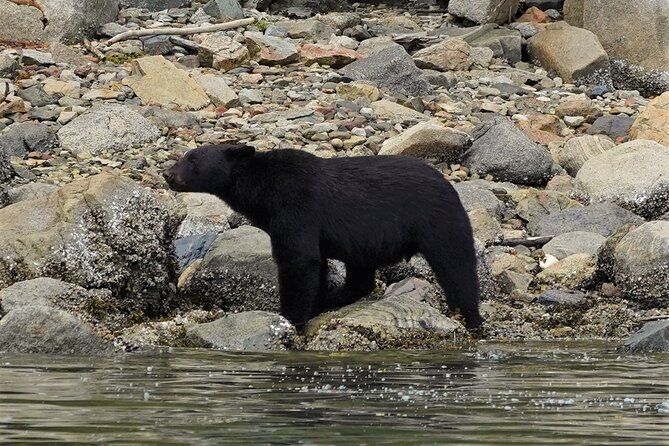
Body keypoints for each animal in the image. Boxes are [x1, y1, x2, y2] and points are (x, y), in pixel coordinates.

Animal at [164, 144, 483, 330]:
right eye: (184, 156)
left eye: (192, 160)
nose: (167, 174)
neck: (262, 189)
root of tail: (450, 185)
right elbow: (315, 265)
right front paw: (314, 304)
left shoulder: (295, 206)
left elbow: (298, 260)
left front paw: (291, 318)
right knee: (360, 276)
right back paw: (333, 298)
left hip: (438, 221)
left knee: (457, 268)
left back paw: (470, 317)